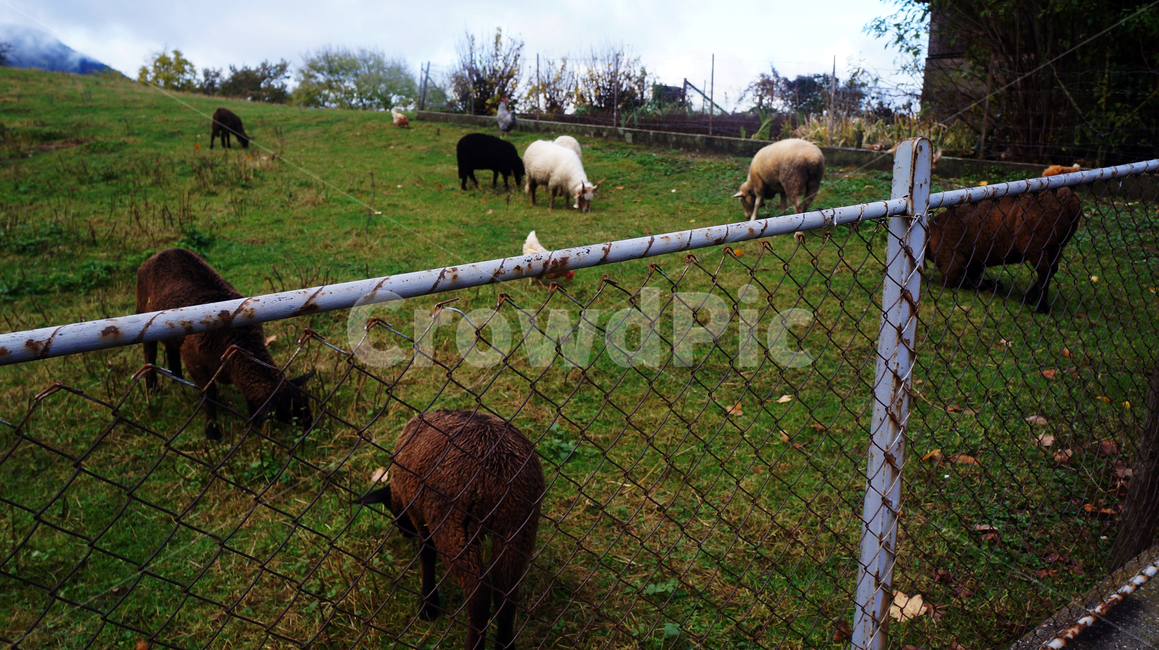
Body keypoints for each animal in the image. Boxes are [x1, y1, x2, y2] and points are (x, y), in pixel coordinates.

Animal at [135, 248, 314, 440]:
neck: (240, 341)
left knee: (171, 348)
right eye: (291, 413)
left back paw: (177, 379)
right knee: (149, 353)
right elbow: (210, 395)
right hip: (144, 317)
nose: (310, 426)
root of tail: (163, 252)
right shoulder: (193, 361)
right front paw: (212, 431)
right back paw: (152, 391)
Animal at [356, 409, 544, 650]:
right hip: (519, 522)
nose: (403, 532)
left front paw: (428, 605)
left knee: (478, 594)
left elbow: (426, 553)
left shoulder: (418, 515)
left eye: (391, 508)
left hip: (453, 524)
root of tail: (498, 469)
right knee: (506, 589)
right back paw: (505, 644)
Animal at [924, 186, 1083, 314]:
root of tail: (1071, 202)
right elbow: (972, 280)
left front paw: (992, 285)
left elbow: (954, 283)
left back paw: (1041, 307)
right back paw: (1029, 298)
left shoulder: (952, 261)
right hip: (1057, 245)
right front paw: (992, 284)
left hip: (1034, 241)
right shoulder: (974, 261)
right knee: (1052, 268)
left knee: (1045, 270)